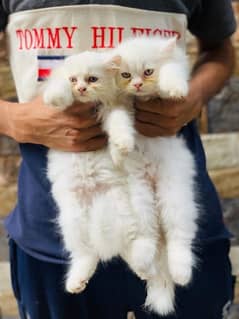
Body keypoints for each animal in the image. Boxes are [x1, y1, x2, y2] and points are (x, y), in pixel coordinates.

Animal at [44, 52, 173, 316]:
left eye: (92, 79)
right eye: (74, 79)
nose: (81, 88)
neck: (97, 102)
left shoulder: (117, 109)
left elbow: (119, 125)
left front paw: (120, 149)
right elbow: (57, 87)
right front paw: (57, 95)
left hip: (124, 216)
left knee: (131, 249)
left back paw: (144, 269)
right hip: (73, 222)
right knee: (86, 255)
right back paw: (77, 282)